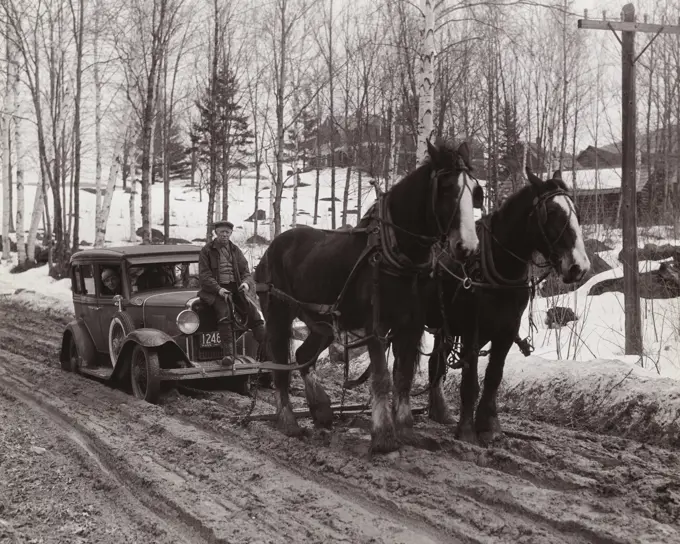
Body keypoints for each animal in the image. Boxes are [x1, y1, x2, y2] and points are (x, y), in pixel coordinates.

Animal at [252, 138, 480, 452]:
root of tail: (272, 247)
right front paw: (384, 436)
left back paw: (321, 409)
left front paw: (407, 430)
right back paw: (288, 421)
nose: (467, 246)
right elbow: (382, 378)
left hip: (322, 323)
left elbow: (403, 377)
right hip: (277, 316)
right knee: (281, 367)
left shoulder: (410, 327)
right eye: (446, 188)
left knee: (304, 355)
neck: (395, 253)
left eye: (475, 191)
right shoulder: (377, 328)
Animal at [424, 168, 588, 444]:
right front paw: (467, 430)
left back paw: (440, 411)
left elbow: (493, 377)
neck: (500, 268)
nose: (579, 267)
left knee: (436, 361)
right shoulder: (471, 331)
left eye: (576, 211)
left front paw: (490, 427)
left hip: (443, 327)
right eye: (552, 212)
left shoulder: (506, 331)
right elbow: (470, 381)